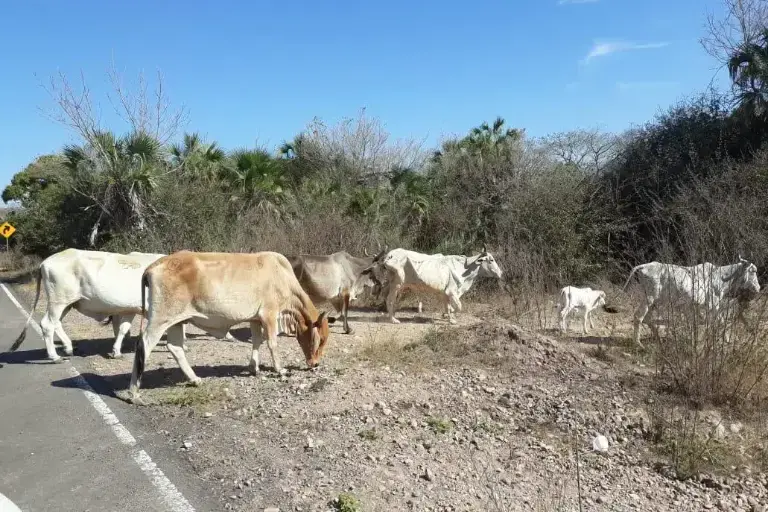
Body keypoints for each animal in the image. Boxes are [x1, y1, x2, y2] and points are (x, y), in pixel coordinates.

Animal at [9, 249, 237, 363]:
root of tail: (45, 262)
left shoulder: (127, 310)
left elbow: (122, 329)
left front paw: (116, 349)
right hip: (59, 301)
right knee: (48, 324)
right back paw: (55, 355)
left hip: (66, 304)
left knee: (55, 324)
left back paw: (68, 347)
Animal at [127, 250, 335, 404]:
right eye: (321, 340)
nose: (315, 364)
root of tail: (155, 265)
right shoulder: (269, 314)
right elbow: (272, 343)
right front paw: (280, 369)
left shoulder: (255, 318)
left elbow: (257, 342)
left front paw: (254, 367)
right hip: (160, 319)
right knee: (143, 344)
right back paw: (134, 393)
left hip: (176, 322)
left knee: (175, 347)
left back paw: (194, 379)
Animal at [362, 246, 503, 324]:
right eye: (491, 260)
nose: (500, 273)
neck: (463, 267)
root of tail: (389, 256)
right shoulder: (452, 292)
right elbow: (458, 307)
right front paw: (452, 319)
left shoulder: (445, 293)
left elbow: (448, 307)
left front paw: (447, 316)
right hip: (397, 283)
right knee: (389, 299)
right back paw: (393, 320)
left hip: (391, 284)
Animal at [622, 256, 761, 347]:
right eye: (753, 271)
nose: (758, 288)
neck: (721, 278)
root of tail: (644, 266)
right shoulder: (713, 304)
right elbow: (720, 321)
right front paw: (725, 339)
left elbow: (702, 322)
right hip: (649, 298)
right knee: (639, 317)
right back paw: (638, 343)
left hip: (654, 302)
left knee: (648, 319)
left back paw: (658, 339)